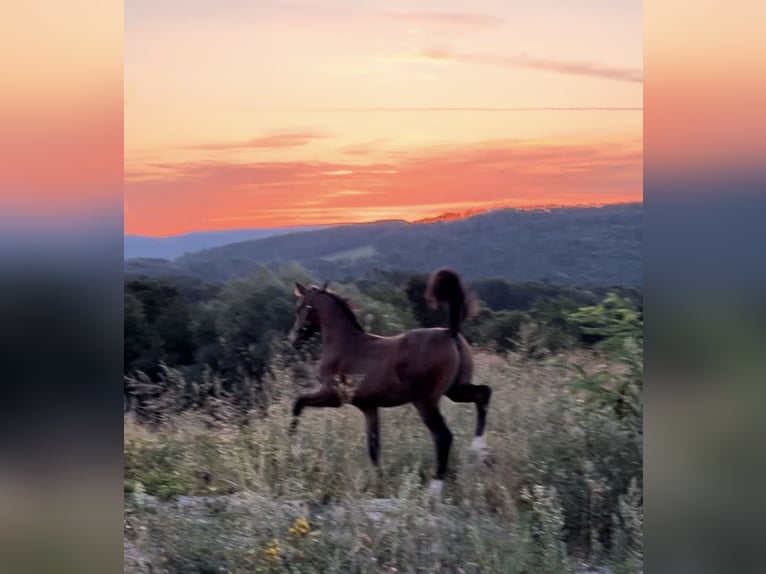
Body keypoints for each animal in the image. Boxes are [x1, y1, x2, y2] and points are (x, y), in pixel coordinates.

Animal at [286, 268, 492, 492]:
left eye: (299, 308)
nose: (293, 340)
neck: (345, 344)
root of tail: (450, 332)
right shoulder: (369, 407)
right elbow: (374, 448)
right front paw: (379, 483)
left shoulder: (334, 396)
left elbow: (298, 403)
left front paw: (294, 450)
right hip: (456, 390)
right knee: (483, 394)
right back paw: (477, 450)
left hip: (426, 401)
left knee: (444, 436)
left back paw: (435, 488)